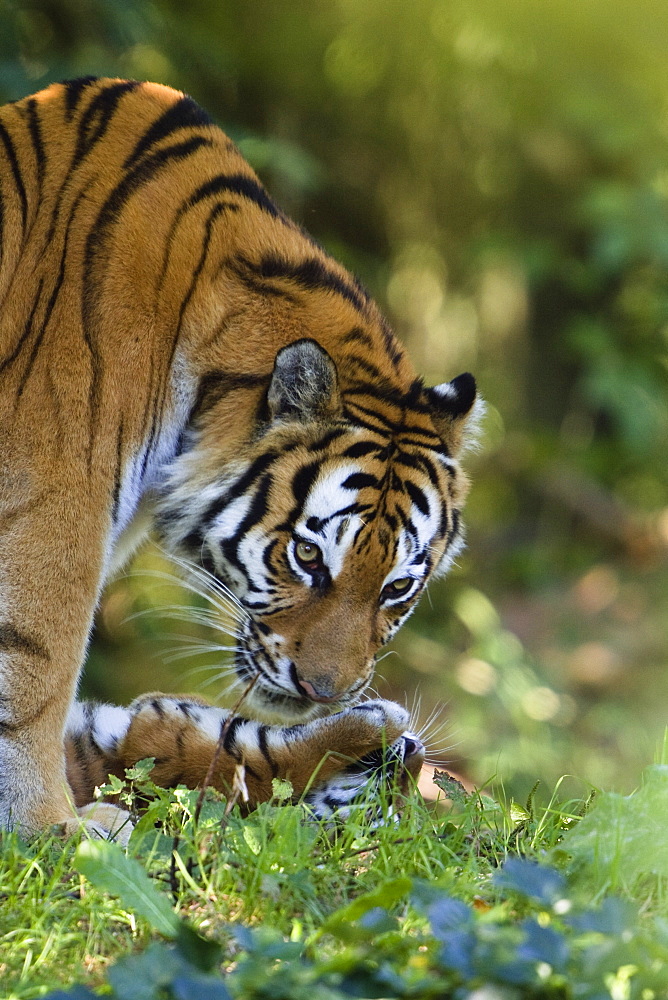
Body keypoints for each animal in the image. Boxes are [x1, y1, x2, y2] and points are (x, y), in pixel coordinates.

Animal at [0, 78, 480, 836]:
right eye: (307, 556)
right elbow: (37, 670)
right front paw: (52, 830)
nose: (324, 692)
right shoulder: (53, 501)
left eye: (398, 588)